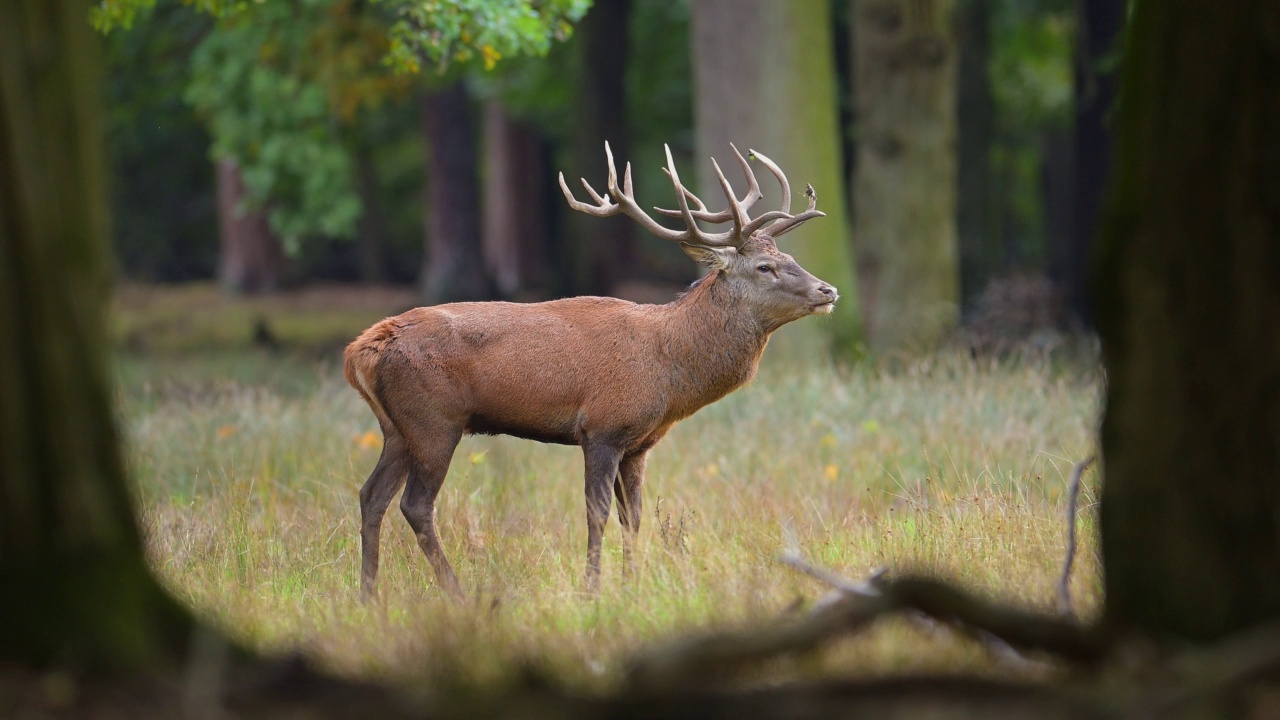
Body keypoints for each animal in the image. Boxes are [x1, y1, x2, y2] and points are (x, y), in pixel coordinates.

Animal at [345, 140, 834, 594]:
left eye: (792, 260)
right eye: (765, 267)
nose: (828, 290)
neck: (669, 368)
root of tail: (360, 350)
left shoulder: (639, 444)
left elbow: (633, 516)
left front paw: (633, 584)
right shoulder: (602, 427)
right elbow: (596, 513)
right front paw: (593, 589)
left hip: (397, 428)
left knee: (371, 496)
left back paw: (369, 595)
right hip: (434, 420)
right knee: (415, 504)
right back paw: (456, 592)